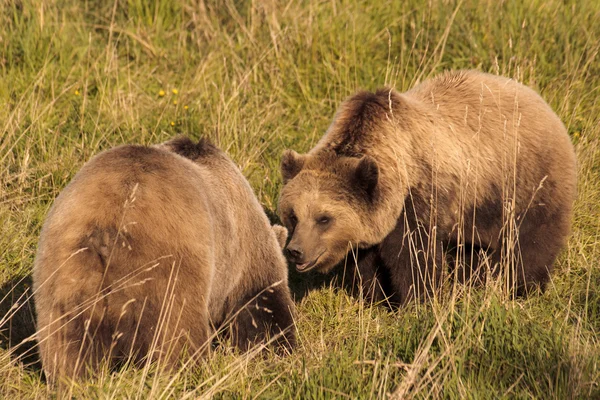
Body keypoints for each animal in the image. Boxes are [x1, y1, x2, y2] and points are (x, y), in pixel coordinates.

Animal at [32, 136, 296, 382]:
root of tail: (109, 227)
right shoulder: (243, 252)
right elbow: (262, 306)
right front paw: (277, 347)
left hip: (65, 268)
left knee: (68, 342)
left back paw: (73, 380)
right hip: (168, 270)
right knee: (178, 333)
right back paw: (190, 373)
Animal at [278, 70, 580, 304]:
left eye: (324, 218)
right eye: (293, 215)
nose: (296, 250)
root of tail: (542, 102)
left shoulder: (419, 200)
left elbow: (415, 260)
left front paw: (417, 301)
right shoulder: (373, 224)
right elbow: (366, 265)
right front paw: (376, 297)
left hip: (525, 182)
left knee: (529, 242)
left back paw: (520, 287)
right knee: (473, 250)